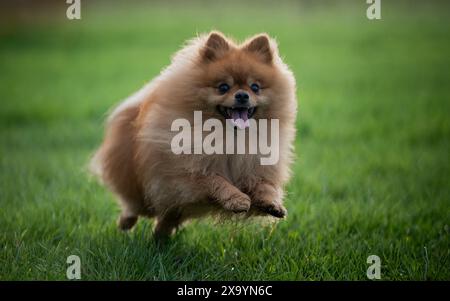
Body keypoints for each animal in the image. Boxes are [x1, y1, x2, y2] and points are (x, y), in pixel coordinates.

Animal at [89, 31, 298, 237]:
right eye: (223, 87)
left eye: (255, 87)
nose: (242, 95)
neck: (231, 138)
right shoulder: (187, 175)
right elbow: (217, 181)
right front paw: (237, 199)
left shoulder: (255, 168)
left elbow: (265, 186)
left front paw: (272, 204)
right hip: (139, 182)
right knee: (134, 205)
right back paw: (126, 223)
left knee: (168, 216)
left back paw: (160, 235)